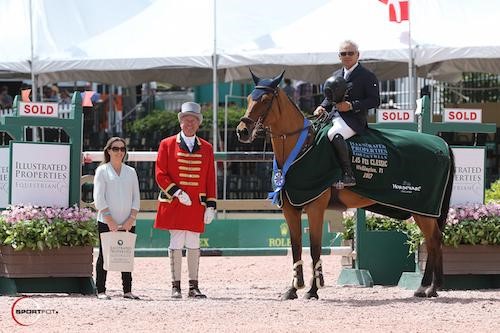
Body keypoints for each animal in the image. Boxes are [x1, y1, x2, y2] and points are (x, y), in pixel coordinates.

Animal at [236, 71, 456, 300]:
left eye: (265, 100)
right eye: (249, 98)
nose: (242, 131)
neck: (301, 148)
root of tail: (441, 144)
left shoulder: (315, 207)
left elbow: (314, 248)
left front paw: (313, 290)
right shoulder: (290, 208)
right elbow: (296, 248)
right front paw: (293, 289)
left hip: (424, 209)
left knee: (433, 240)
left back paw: (428, 287)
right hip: (422, 210)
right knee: (431, 240)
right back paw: (427, 288)